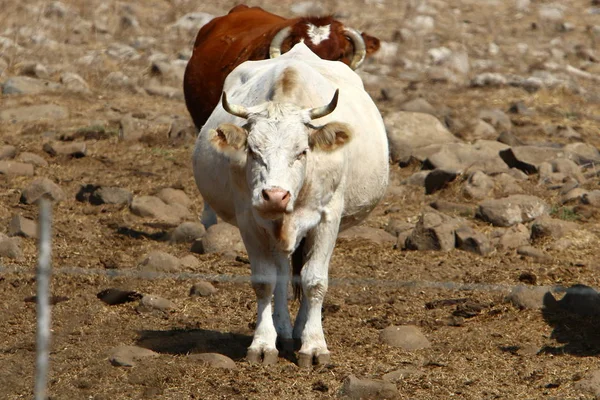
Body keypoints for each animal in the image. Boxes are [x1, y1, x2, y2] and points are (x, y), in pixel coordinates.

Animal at [193, 42, 390, 368]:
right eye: (252, 150)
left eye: (302, 151)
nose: (274, 195)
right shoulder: (249, 219)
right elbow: (265, 281)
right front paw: (263, 343)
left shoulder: (327, 219)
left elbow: (314, 281)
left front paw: (314, 345)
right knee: (283, 274)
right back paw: (283, 331)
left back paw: (298, 331)